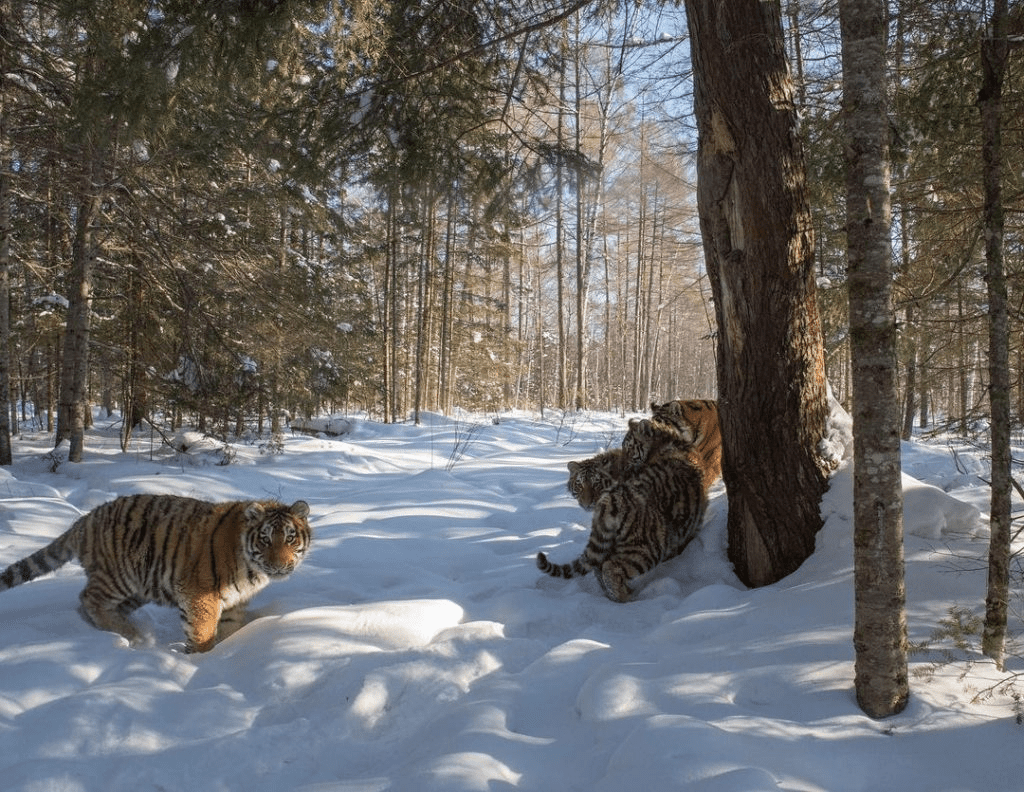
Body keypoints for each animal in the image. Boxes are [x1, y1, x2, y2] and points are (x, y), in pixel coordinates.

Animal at [0, 491, 311, 651]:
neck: (251, 570)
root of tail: (85, 519)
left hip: (139, 588)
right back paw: (133, 637)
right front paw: (199, 660)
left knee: (90, 606)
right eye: (265, 539)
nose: (280, 565)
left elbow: (229, 630)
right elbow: (203, 631)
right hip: (118, 578)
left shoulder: (236, 602)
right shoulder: (200, 594)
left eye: (290, 538)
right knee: (89, 599)